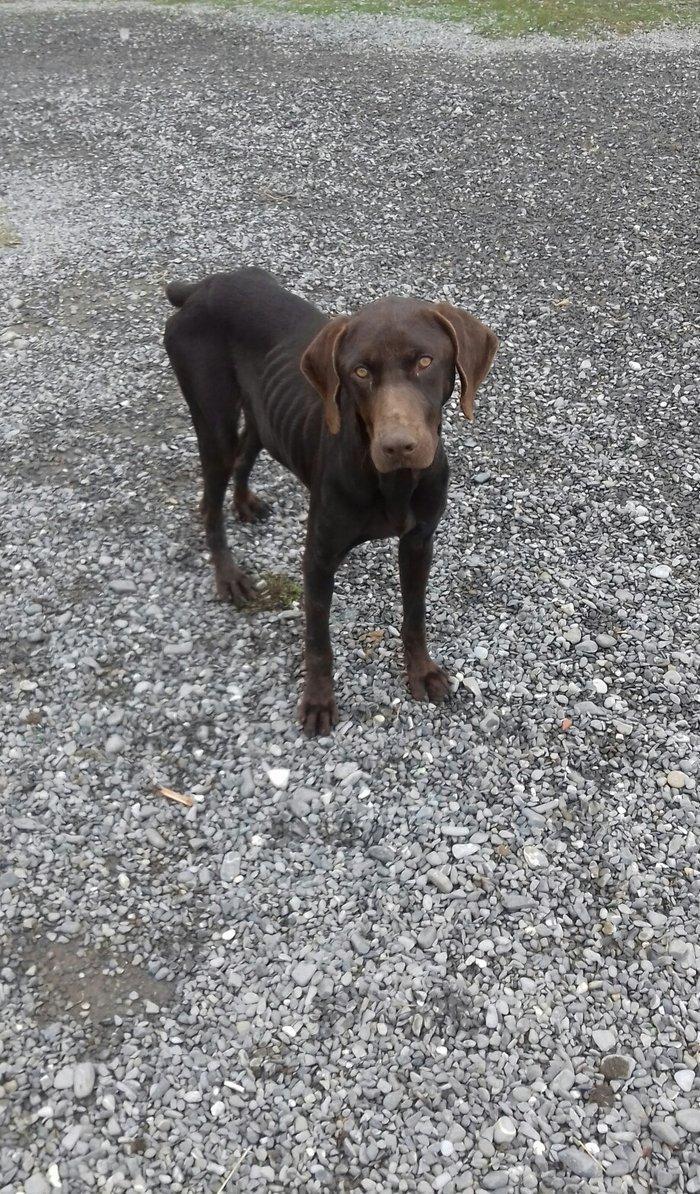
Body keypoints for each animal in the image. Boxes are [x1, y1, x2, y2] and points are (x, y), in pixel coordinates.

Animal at [163, 267, 497, 735]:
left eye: (425, 362)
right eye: (360, 371)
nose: (398, 446)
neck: (392, 483)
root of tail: (199, 288)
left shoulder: (419, 542)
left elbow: (414, 616)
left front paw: (421, 670)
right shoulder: (319, 559)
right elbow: (318, 639)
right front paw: (319, 701)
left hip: (262, 411)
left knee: (249, 449)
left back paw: (245, 502)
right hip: (214, 421)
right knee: (210, 502)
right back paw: (228, 575)